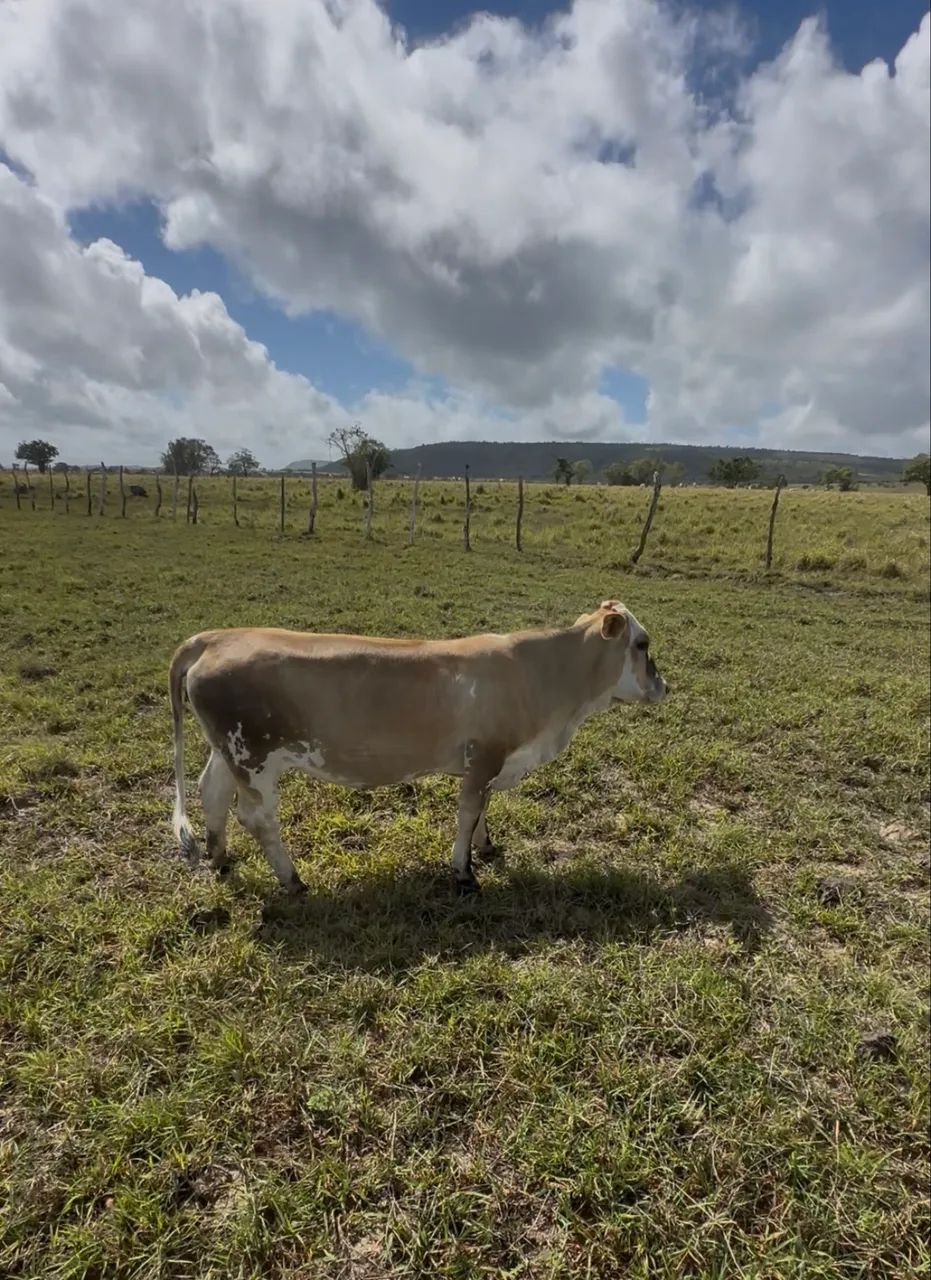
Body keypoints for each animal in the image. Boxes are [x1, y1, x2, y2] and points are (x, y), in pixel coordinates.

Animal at [168, 600, 667, 895]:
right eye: (642, 644)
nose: (664, 686)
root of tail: (215, 637)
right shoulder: (486, 755)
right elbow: (468, 812)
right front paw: (464, 871)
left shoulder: (486, 762)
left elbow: (482, 810)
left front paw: (486, 847)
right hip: (253, 758)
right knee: (256, 817)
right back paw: (292, 880)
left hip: (226, 752)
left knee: (211, 793)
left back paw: (219, 858)